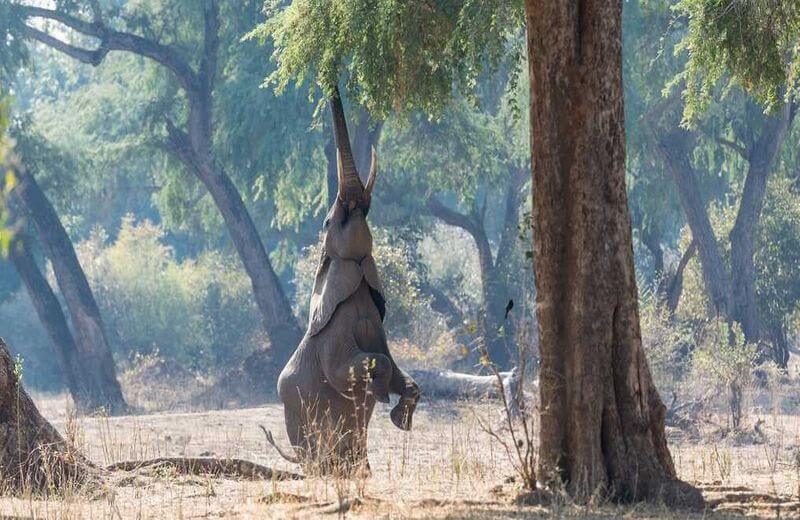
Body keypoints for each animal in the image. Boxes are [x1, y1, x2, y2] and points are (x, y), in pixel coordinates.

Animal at [272, 93, 422, 476]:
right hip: (299, 424)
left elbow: (401, 371)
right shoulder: (331, 338)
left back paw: (360, 472)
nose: (357, 204)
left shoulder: (379, 328)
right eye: (328, 221)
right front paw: (378, 393)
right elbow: (349, 371)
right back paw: (328, 471)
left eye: (366, 214)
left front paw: (398, 415)